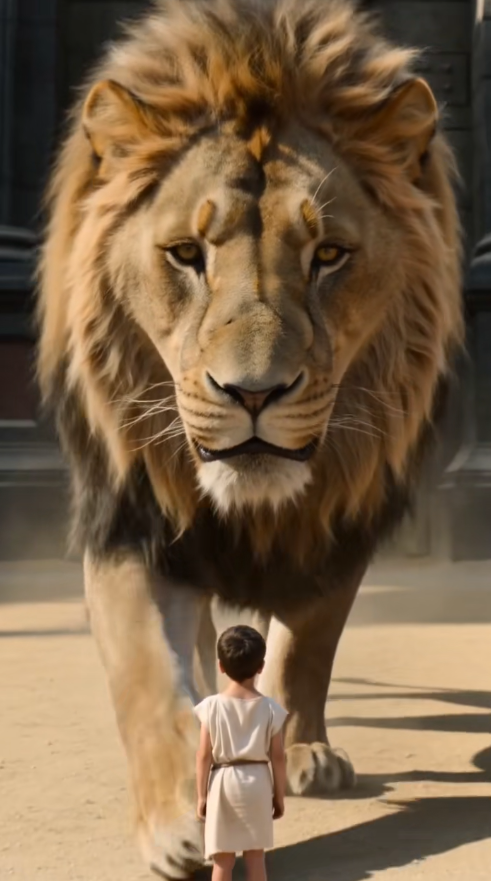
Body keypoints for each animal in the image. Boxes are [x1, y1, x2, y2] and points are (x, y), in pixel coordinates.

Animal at [37, 0, 463, 876]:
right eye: (184, 254)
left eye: (328, 254)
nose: (254, 393)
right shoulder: (133, 516)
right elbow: (143, 671)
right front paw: (176, 817)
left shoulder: (342, 516)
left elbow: (307, 645)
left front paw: (301, 748)